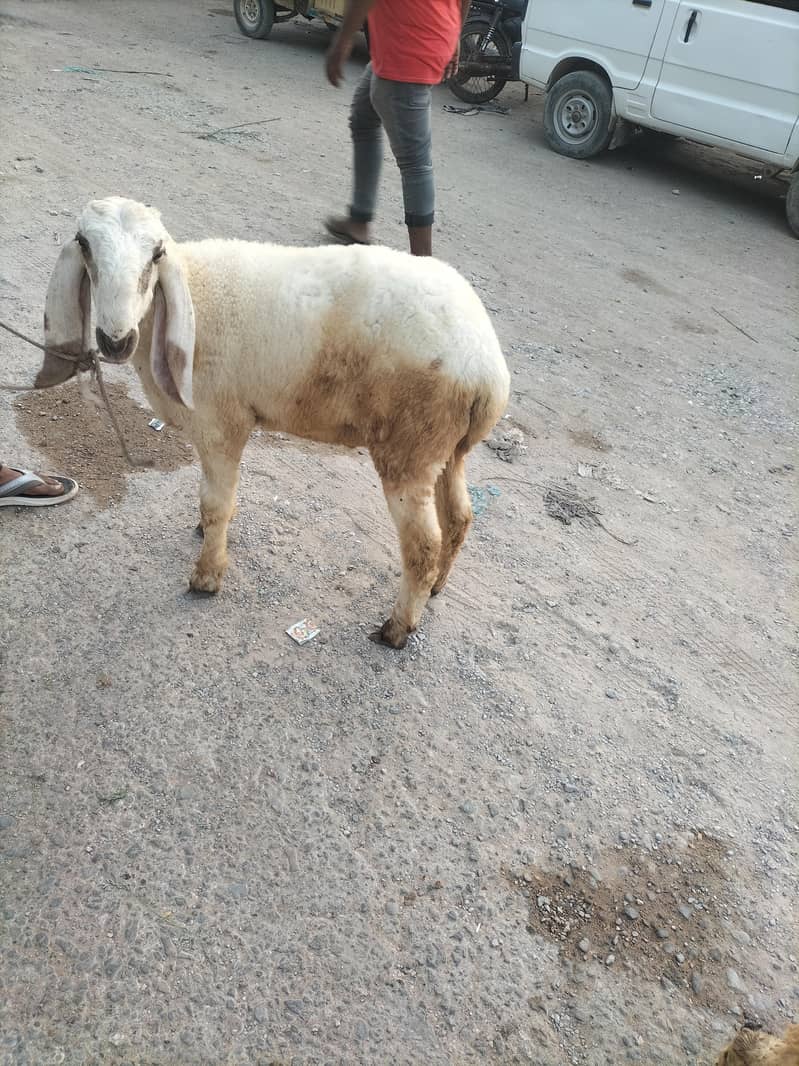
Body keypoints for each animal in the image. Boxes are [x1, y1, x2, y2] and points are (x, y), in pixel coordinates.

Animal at [35, 197, 510, 648]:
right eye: (84, 245)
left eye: (156, 254)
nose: (116, 341)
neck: (190, 291)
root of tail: (487, 366)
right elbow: (214, 499)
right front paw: (205, 533)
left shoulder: (221, 423)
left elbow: (217, 502)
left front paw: (207, 576)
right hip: (445, 449)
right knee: (460, 518)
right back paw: (437, 587)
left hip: (408, 450)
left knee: (423, 546)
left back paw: (397, 628)